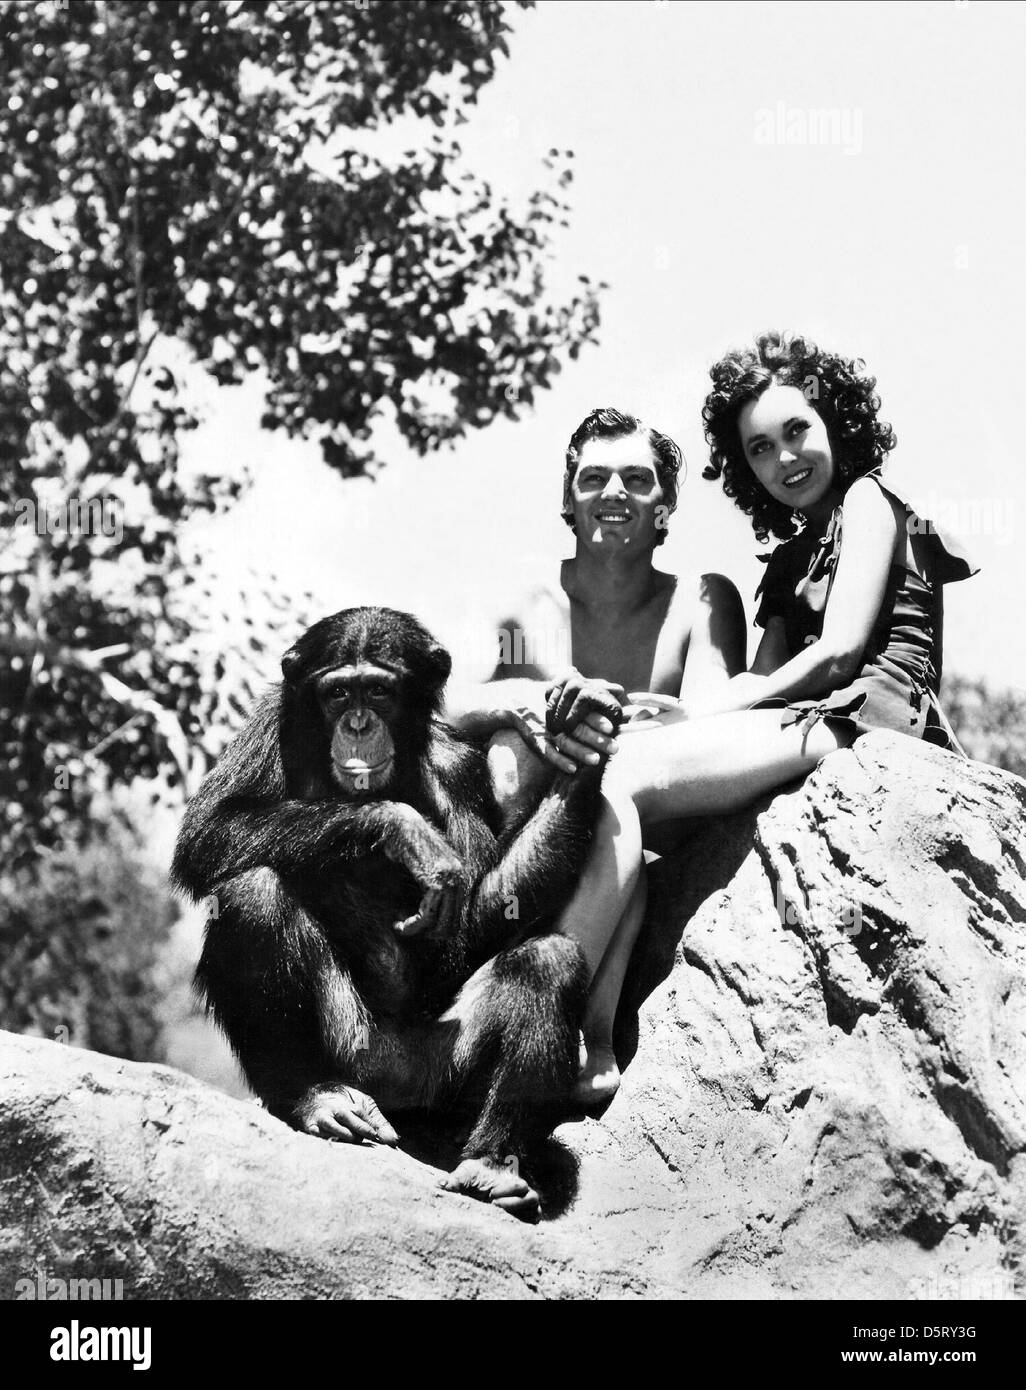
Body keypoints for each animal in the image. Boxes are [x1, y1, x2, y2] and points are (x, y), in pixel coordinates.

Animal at [171, 606, 620, 1217]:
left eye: (379, 691)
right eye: (339, 692)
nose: (359, 723)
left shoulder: (459, 766)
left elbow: (481, 911)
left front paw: (582, 738)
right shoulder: (269, 720)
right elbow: (209, 830)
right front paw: (399, 827)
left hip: (440, 1076)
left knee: (548, 961)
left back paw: (492, 1164)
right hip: (350, 1047)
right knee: (250, 892)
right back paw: (313, 1097)